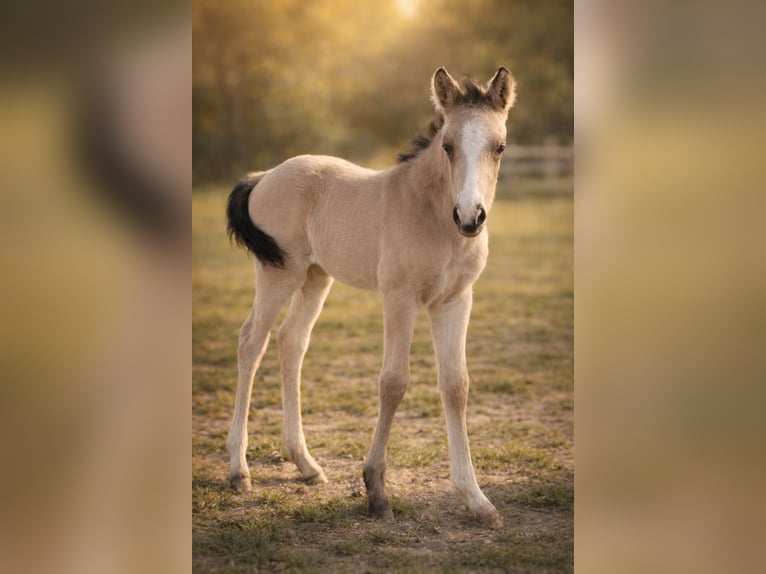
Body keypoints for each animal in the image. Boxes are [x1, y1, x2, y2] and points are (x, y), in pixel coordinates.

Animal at [226, 67, 516, 527]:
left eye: (500, 147)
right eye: (448, 146)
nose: (470, 217)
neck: (433, 215)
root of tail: (264, 175)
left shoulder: (455, 301)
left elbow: (456, 385)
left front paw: (476, 499)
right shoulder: (400, 298)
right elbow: (393, 382)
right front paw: (376, 491)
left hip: (316, 276)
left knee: (292, 341)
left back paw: (306, 464)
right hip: (278, 273)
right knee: (252, 342)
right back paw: (239, 471)